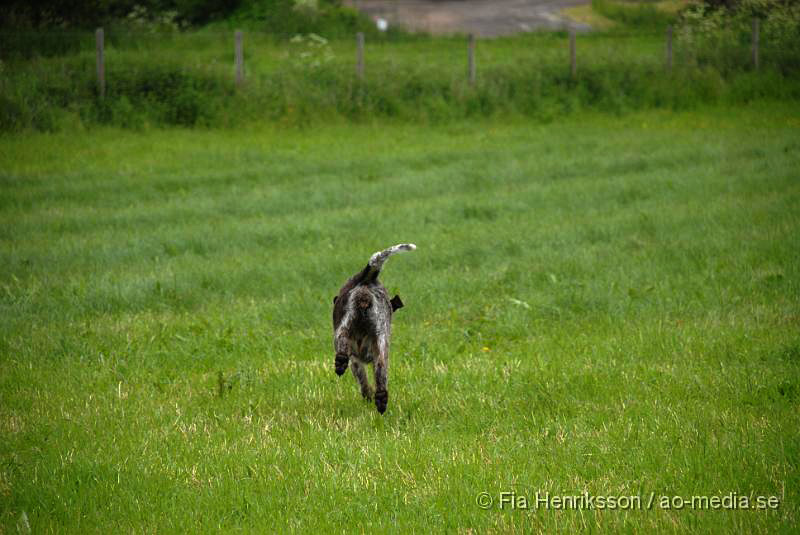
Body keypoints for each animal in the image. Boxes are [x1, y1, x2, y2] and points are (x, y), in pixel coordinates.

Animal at [332, 243, 418, 414]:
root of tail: (367, 281)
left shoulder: (355, 361)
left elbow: (362, 381)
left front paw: (367, 395)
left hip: (344, 326)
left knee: (342, 343)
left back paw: (340, 365)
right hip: (381, 343)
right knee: (381, 373)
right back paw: (381, 402)